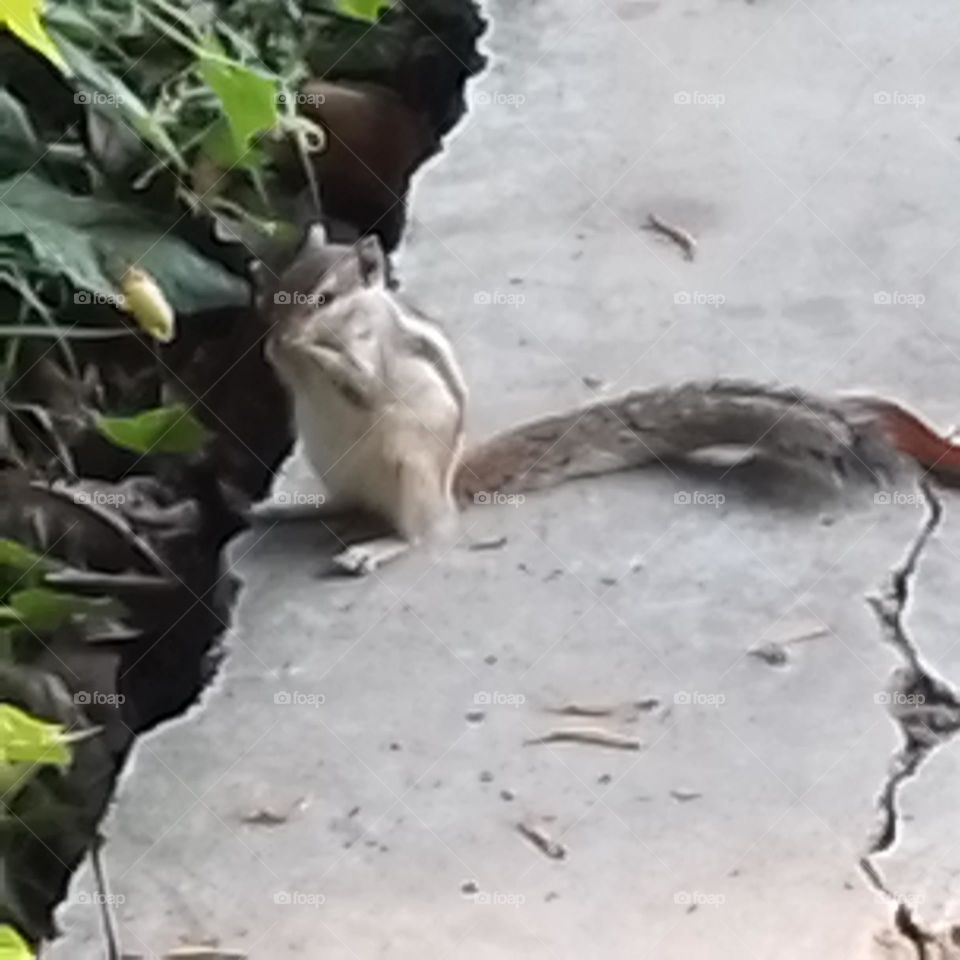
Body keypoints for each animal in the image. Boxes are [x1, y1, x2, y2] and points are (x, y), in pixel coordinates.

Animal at [263, 228, 960, 575]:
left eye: (324, 297)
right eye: (278, 281)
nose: (279, 332)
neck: (357, 323)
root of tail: (450, 484)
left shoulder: (384, 362)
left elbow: (363, 383)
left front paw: (309, 353)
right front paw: (276, 353)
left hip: (410, 473)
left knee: (428, 533)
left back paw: (376, 547)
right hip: (335, 466)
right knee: (345, 503)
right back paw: (290, 510)